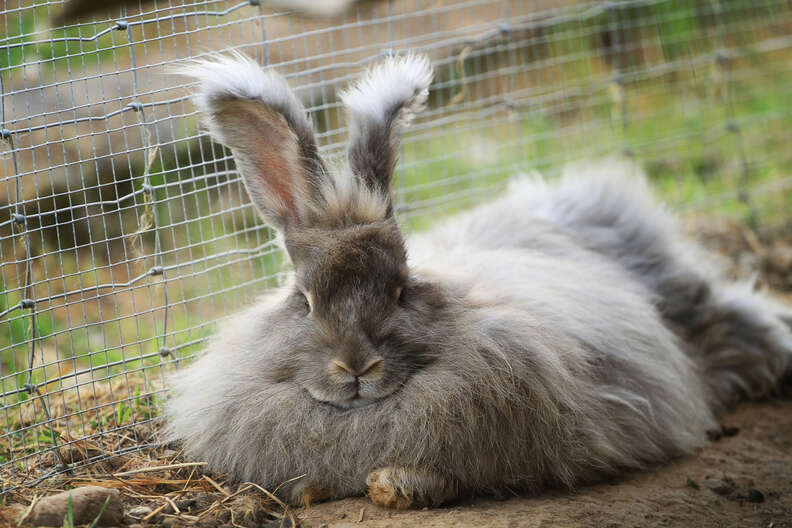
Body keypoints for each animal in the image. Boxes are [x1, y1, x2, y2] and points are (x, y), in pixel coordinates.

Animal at [169, 52, 792, 508]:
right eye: (304, 300)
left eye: (401, 290)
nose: (356, 367)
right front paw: (308, 490)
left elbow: (448, 476)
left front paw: (394, 486)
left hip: (696, 307)